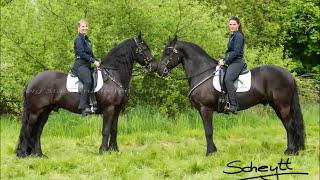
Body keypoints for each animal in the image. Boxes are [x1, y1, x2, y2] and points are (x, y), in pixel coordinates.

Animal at [15, 33, 158, 157]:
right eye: (144, 48)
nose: (155, 66)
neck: (113, 76)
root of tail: (32, 81)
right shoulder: (109, 109)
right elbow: (106, 130)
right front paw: (103, 151)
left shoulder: (116, 110)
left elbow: (114, 130)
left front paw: (114, 150)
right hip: (35, 111)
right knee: (28, 129)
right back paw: (23, 154)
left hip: (45, 111)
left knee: (38, 130)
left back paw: (38, 154)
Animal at [158, 36, 304, 155]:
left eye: (168, 52)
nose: (160, 70)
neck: (202, 72)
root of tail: (289, 74)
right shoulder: (202, 110)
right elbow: (208, 129)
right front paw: (213, 150)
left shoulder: (206, 109)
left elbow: (208, 131)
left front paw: (210, 153)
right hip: (278, 106)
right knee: (288, 126)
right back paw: (292, 150)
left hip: (282, 106)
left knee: (290, 126)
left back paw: (291, 151)